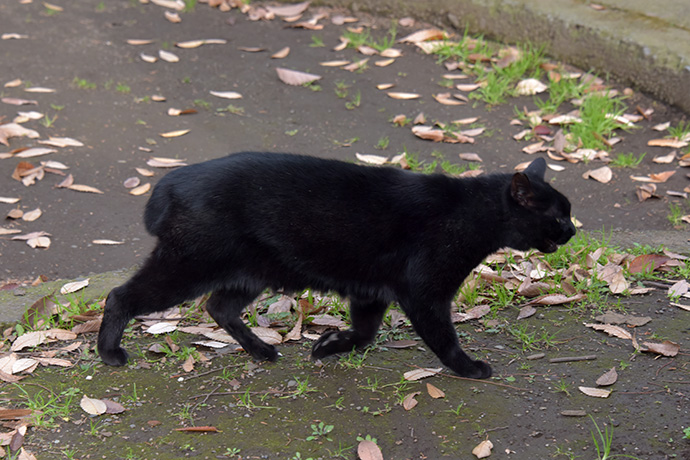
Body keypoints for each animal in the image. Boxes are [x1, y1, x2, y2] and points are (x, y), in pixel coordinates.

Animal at [95, 153, 568, 380]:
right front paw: (469, 369)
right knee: (121, 296)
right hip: (190, 266)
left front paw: (327, 345)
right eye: (558, 216)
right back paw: (109, 353)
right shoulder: (425, 294)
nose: (574, 230)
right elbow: (444, 340)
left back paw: (263, 350)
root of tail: (172, 179)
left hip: (249, 272)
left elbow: (364, 334)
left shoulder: (371, 292)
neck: (469, 212)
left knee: (219, 307)